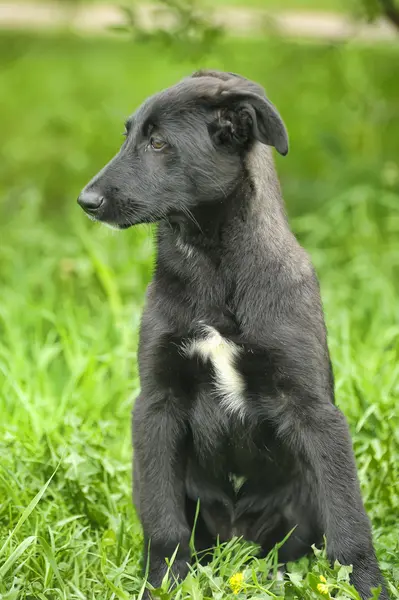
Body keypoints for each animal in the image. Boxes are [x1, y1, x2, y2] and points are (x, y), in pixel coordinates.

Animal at [78, 71, 388, 600]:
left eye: (158, 142)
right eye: (129, 136)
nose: (87, 202)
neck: (213, 266)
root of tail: (238, 540)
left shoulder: (314, 412)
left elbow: (349, 522)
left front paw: (369, 586)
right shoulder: (157, 404)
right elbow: (164, 524)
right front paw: (163, 583)